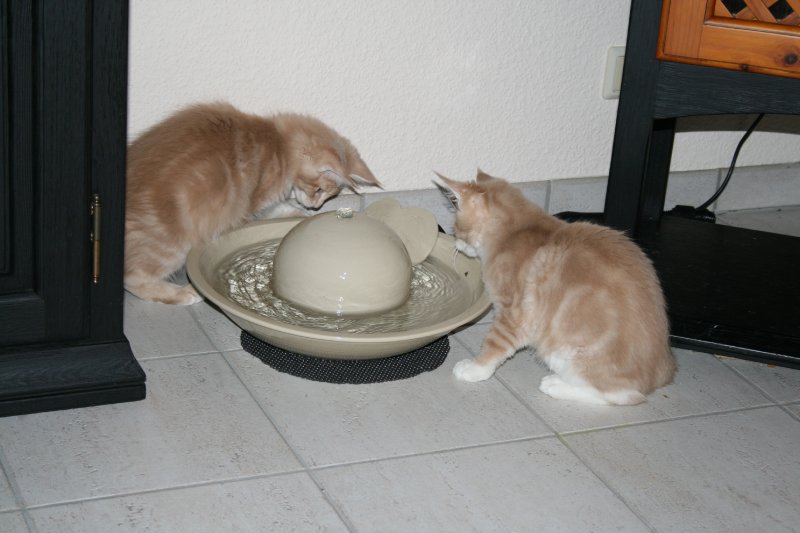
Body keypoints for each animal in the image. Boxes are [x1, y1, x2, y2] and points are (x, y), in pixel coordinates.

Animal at [125, 102, 379, 305]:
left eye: (327, 194)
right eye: (319, 190)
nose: (316, 206)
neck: (279, 145)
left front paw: (305, 215)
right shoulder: (251, 206)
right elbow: (271, 210)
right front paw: (302, 213)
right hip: (171, 244)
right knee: (133, 277)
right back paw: (180, 293)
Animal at [438, 171, 676, 405]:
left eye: (456, 229)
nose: (456, 243)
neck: (514, 232)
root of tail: (661, 372)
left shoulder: (514, 314)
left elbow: (495, 344)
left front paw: (475, 368)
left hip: (564, 349)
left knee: (622, 395)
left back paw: (556, 385)